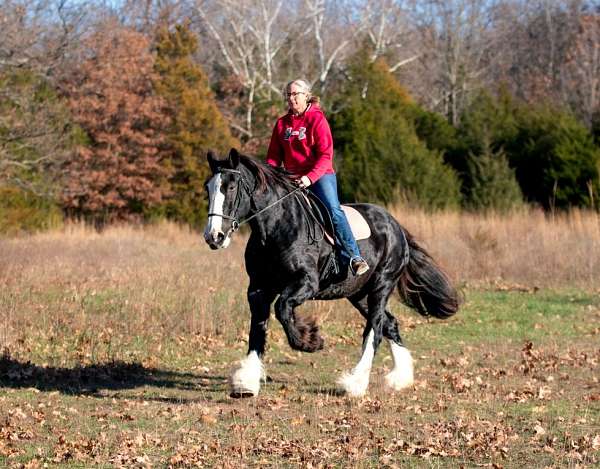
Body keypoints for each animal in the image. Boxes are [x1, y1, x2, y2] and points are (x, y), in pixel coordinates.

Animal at [204, 149, 458, 394]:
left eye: (231, 187)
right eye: (208, 188)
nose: (213, 237)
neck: (278, 227)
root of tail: (395, 226)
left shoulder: (306, 283)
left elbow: (282, 308)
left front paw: (310, 340)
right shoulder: (258, 288)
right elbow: (257, 329)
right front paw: (245, 382)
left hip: (382, 285)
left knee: (375, 329)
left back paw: (355, 383)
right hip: (359, 294)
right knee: (390, 323)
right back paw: (400, 378)